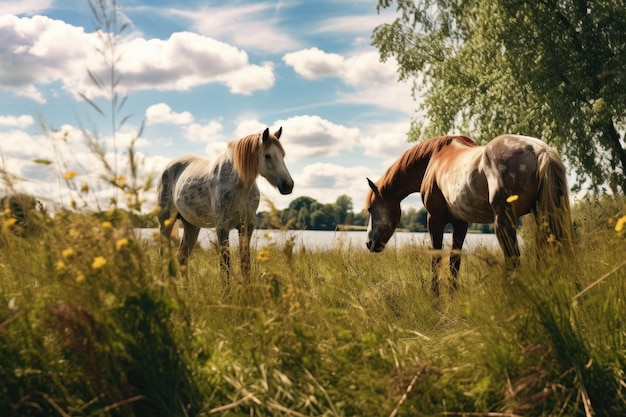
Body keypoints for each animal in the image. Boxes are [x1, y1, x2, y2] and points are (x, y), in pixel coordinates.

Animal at [156, 127, 292, 282]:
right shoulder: (222, 227)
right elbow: (225, 264)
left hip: (191, 225)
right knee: (163, 254)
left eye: (283, 155)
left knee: (182, 256)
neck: (239, 187)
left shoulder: (247, 226)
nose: (288, 185)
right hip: (166, 223)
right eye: (267, 155)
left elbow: (245, 263)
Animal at [364, 135, 572, 294]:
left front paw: (435, 296)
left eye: (371, 209)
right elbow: (454, 262)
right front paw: (453, 294)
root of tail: (540, 151)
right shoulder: (460, 223)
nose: (369, 243)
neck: (435, 158)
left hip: (503, 223)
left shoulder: (435, 219)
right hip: (544, 218)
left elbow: (436, 259)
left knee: (513, 260)